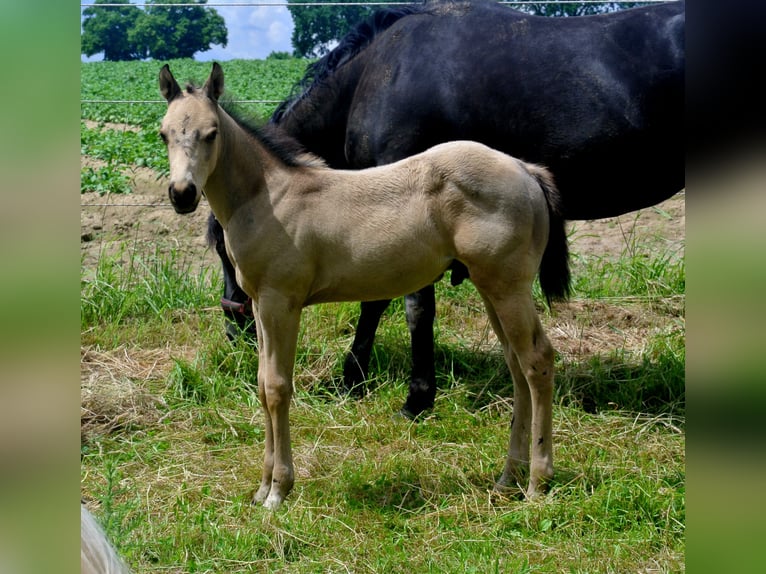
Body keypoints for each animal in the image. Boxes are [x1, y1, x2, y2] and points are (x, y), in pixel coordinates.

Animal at [160, 62, 570, 509]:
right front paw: (262, 487)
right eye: (163, 133)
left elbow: (277, 388)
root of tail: (526, 170)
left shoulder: (279, 303)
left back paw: (537, 481)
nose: (182, 194)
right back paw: (507, 478)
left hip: (509, 287)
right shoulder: (261, 306)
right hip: (491, 287)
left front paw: (279, 490)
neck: (268, 197)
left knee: (537, 361)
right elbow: (262, 385)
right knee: (516, 366)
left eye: (211, 132)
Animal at [210, 0, 685, 418]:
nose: (237, 331)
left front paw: (405, 393)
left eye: (221, 245)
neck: (375, 75)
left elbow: (403, 305)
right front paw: (359, 377)